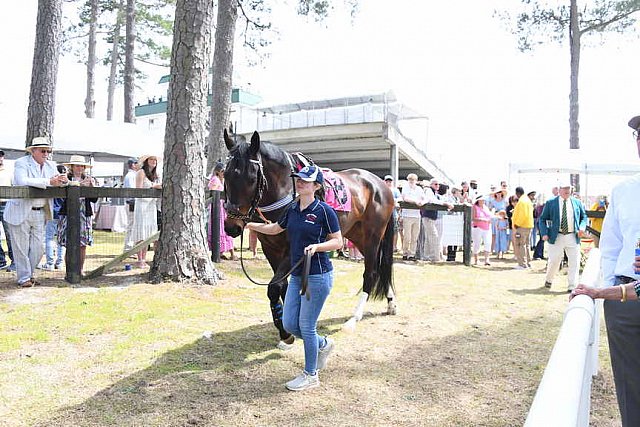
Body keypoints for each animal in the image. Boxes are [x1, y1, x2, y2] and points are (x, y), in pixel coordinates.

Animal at [224, 130, 396, 352]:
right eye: (225, 174)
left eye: (252, 178)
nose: (231, 226)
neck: (286, 191)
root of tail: (381, 184)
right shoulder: (270, 248)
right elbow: (284, 286)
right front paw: (288, 327)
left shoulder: (293, 249)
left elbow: (274, 287)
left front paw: (286, 333)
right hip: (356, 235)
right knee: (381, 267)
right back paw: (391, 303)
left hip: (373, 236)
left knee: (372, 272)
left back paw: (353, 319)